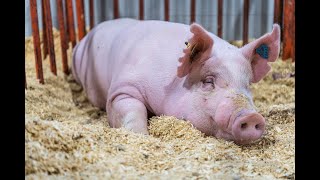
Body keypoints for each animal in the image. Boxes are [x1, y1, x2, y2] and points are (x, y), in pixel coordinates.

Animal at [72, 18, 280, 145]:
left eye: (248, 84)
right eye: (208, 81)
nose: (252, 117)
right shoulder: (122, 88)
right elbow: (133, 109)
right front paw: (141, 137)